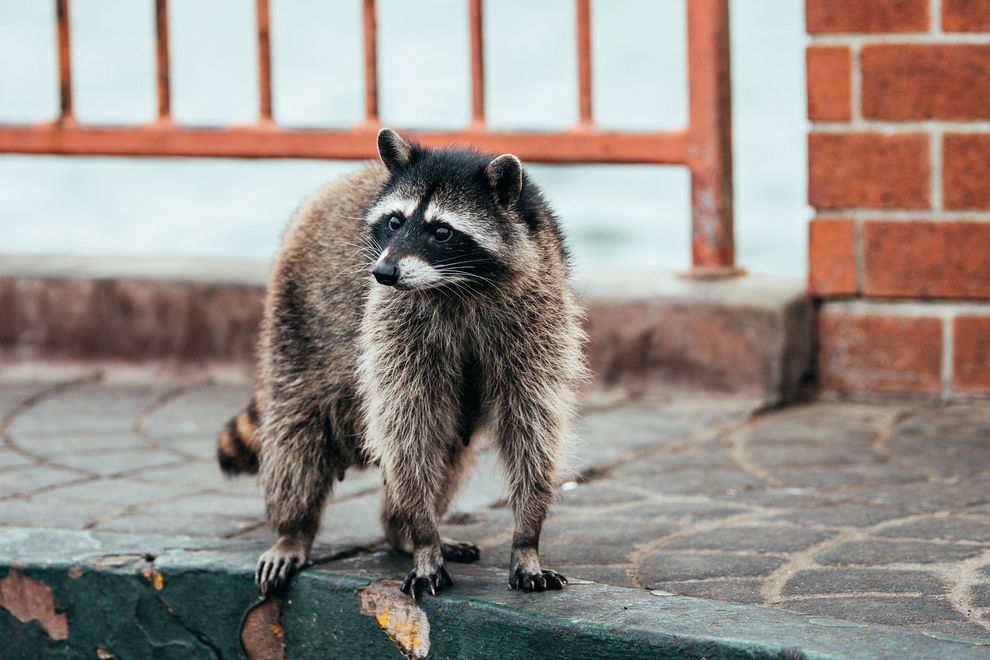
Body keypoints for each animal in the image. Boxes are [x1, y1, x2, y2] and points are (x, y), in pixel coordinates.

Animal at [219, 127, 588, 600]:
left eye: (442, 232)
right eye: (395, 222)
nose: (384, 272)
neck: (458, 287)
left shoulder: (538, 313)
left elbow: (532, 423)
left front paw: (526, 537)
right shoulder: (394, 320)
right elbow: (408, 427)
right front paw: (424, 537)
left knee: (448, 450)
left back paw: (396, 530)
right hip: (295, 323)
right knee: (297, 435)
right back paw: (296, 530)